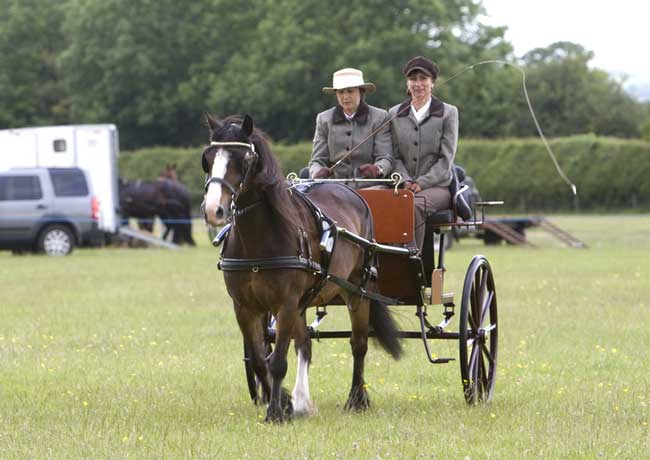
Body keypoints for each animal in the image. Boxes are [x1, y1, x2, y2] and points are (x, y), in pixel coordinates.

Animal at [200, 113, 400, 422]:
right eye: (207, 159)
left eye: (243, 160)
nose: (213, 210)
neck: (258, 239)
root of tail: (349, 189)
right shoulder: (245, 307)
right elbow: (260, 360)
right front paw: (282, 401)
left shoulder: (285, 303)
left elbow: (278, 362)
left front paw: (275, 413)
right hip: (303, 302)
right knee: (304, 345)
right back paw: (303, 401)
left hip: (357, 292)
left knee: (359, 344)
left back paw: (356, 399)